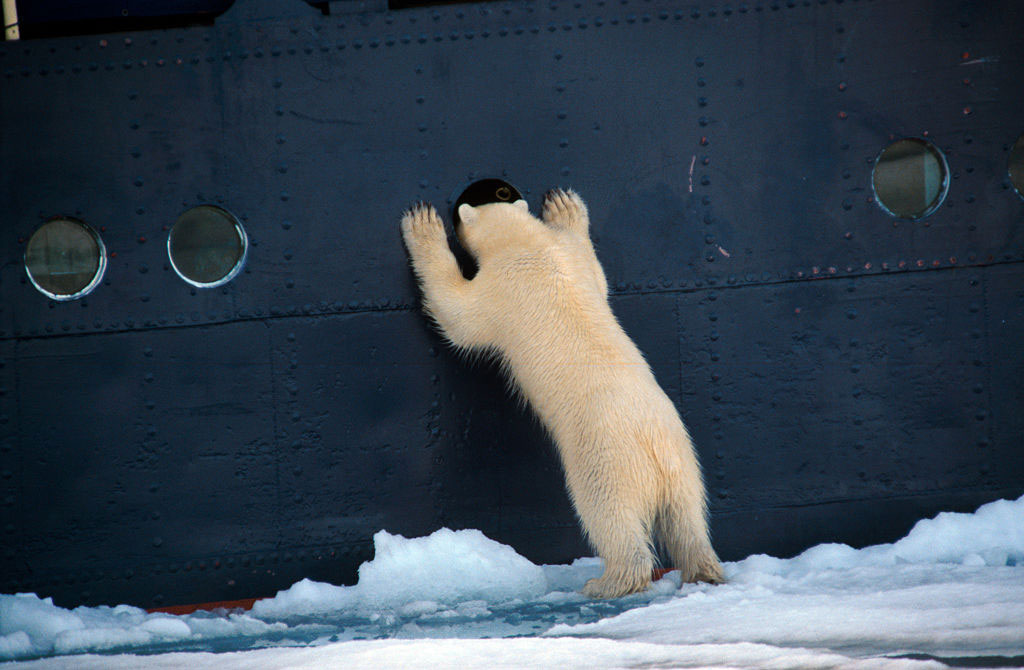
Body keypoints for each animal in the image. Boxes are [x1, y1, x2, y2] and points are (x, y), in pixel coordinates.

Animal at [400, 188, 723, 598]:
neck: (529, 245)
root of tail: (654, 447)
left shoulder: (500, 287)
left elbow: (457, 314)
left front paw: (422, 226)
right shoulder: (568, 257)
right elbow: (598, 277)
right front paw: (565, 208)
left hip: (605, 458)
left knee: (609, 514)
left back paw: (607, 581)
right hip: (684, 458)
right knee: (688, 518)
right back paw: (704, 570)